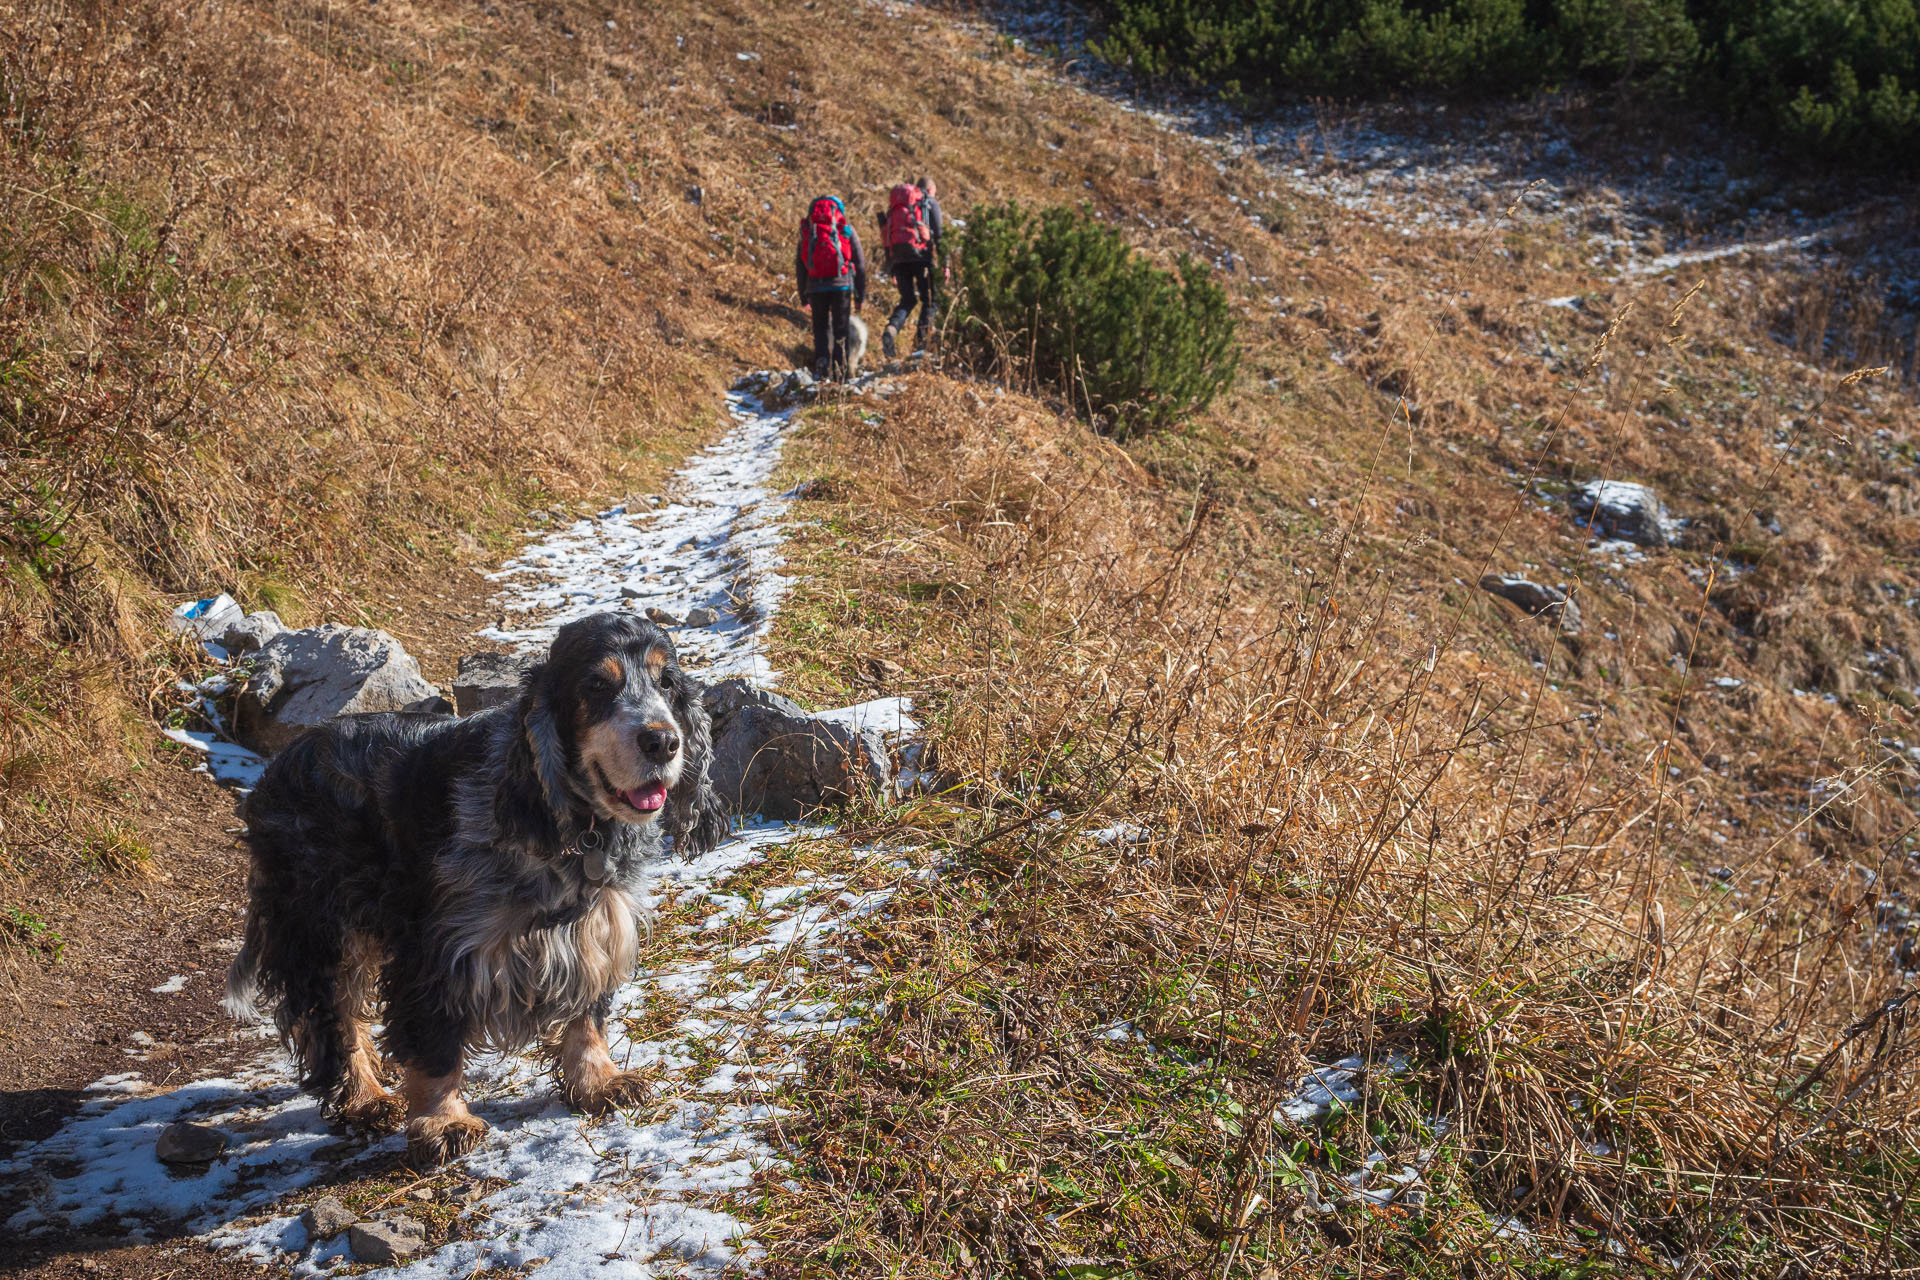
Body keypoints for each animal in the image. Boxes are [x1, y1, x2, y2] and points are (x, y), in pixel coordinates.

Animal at [224, 614, 729, 1166]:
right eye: (597, 685)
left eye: (667, 683)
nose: (662, 742)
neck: (570, 827)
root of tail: (276, 768)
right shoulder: (441, 951)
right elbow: (436, 1043)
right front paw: (444, 1122)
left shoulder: (595, 930)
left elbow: (587, 1017)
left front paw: (599, 1082)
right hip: (321, 927)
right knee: (332, 1019)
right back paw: (365, 1099)